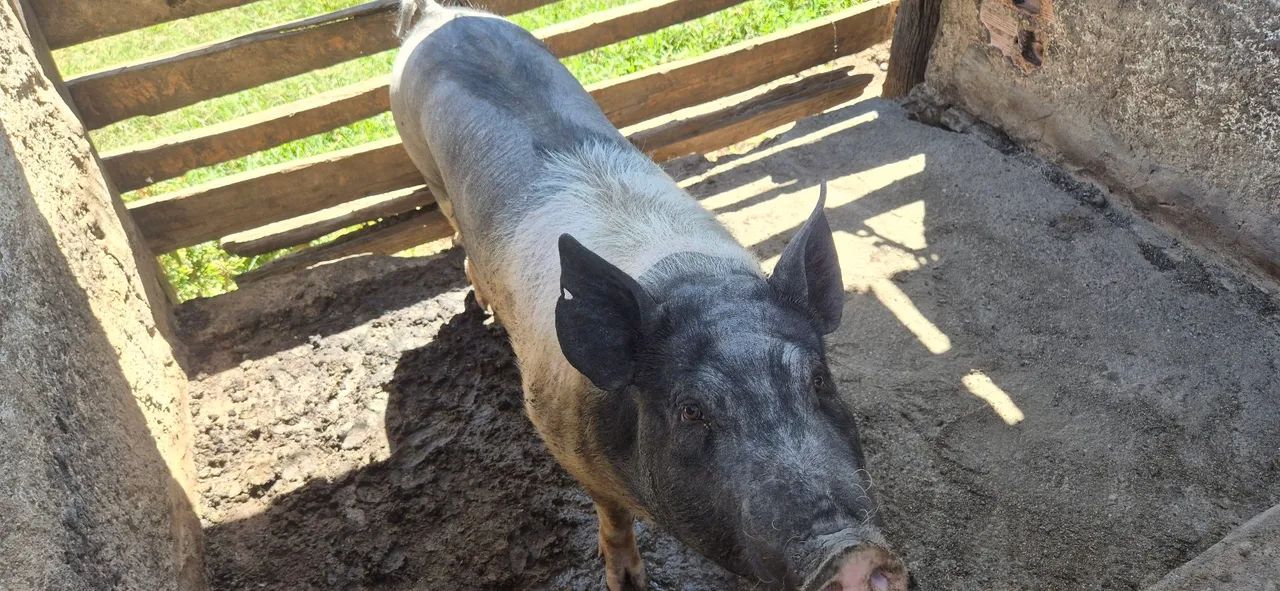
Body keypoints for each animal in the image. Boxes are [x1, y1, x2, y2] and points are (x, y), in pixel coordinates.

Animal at [389, 2, 909, 590]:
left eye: (820, 380)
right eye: (690, 411)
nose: (857, 557)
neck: (691, 279)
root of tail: (441, 16)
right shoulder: (561, 438)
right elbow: (613, 520)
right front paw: (628, 582)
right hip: (424, 165)